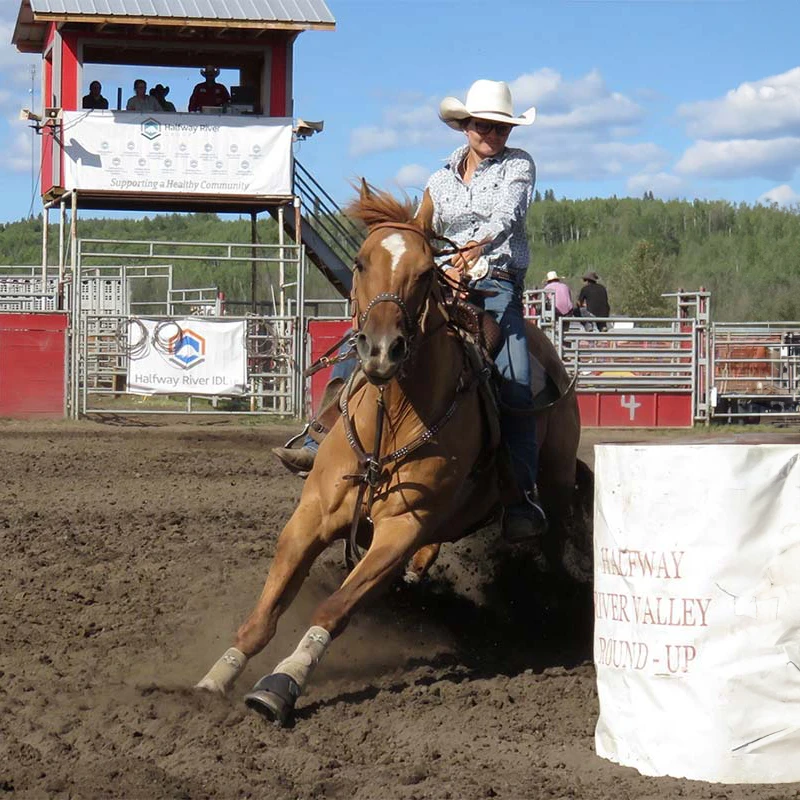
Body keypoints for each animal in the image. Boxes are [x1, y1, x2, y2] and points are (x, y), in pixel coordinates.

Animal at [197, 181, 592, 724]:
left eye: (425, 271)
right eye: (361, 262)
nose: (382, 350)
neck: (393, 414)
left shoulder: (401, 526)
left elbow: (335, 608)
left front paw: (282, 682)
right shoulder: (311, 515)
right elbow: (266, 609)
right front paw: (219, 674)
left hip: (551, 486)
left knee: (552, 545)